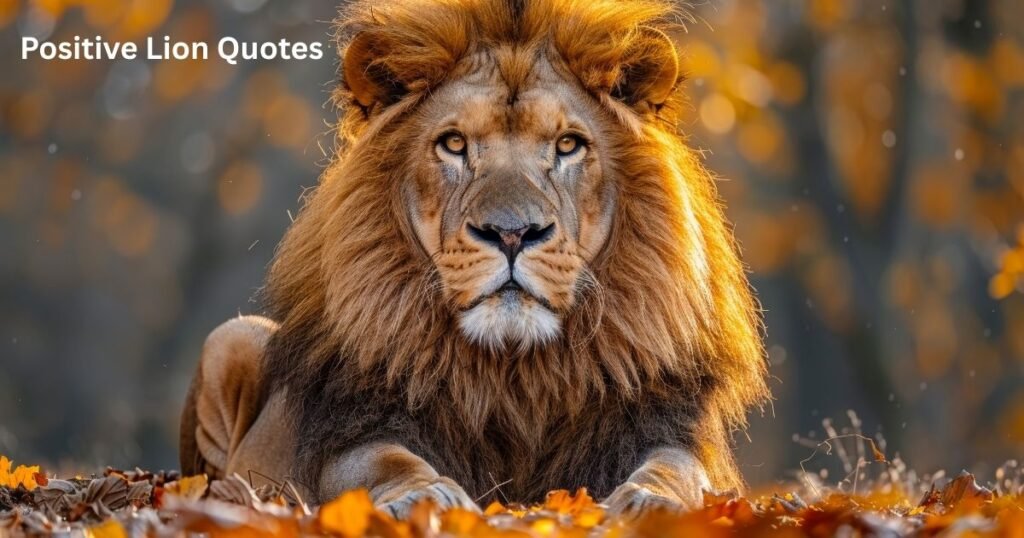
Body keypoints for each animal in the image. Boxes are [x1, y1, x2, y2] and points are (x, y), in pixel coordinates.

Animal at [179, 0, 769, 518]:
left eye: (568, 145)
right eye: (455, 144)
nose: (511, 233)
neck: (514, 373)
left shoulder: (661, 424)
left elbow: (677, 471)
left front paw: (652, 501)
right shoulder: (357, 428)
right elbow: (384, 463)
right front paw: (425, 495)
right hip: (232, 338)